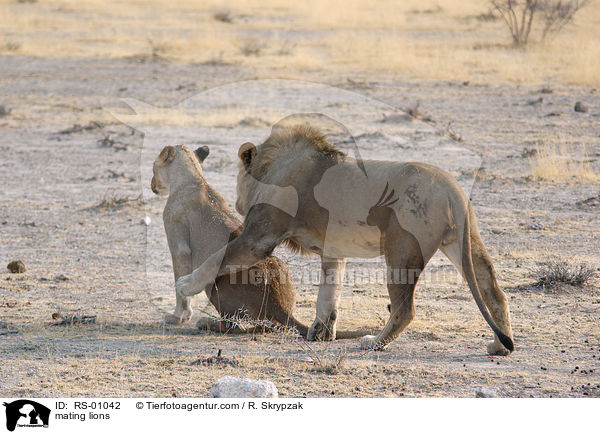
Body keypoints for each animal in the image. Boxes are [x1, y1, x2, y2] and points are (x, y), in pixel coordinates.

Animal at [175, 124, 516, 354]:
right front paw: (321, 332)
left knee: (404, 309)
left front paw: (186, 284)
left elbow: (217, 257)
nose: (236, 202)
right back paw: (499, 345)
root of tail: (450, 186)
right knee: (495, 292)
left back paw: (375, 342)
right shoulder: (333, 251)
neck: (272, 168)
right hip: (463, 243)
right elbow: (329, 293)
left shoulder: (258, 237)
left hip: (403, 249)